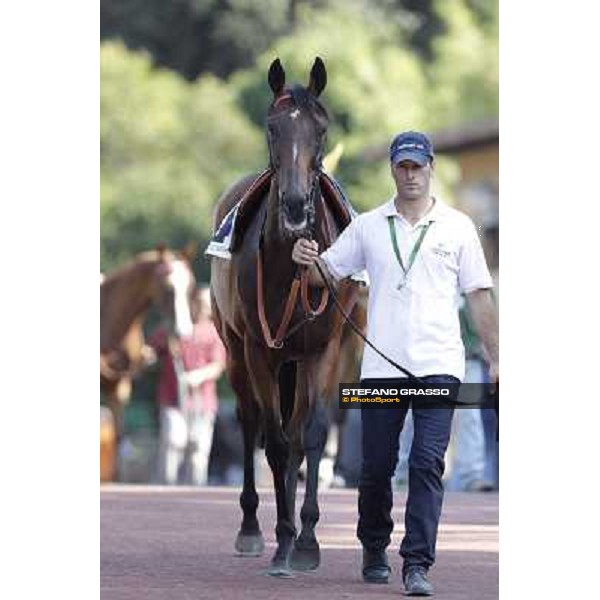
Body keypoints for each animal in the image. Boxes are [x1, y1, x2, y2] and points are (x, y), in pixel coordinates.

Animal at [211, 57, 360, 576]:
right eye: (272, 127)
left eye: (321, 129)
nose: (296, 206)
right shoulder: (260, 349)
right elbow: (272, 442)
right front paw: (280, 540)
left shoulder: (325, 348)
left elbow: (310, 435)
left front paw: (308, 541)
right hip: (236, 351)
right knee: (251, 421)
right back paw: (253, 529)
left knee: (297, 434)